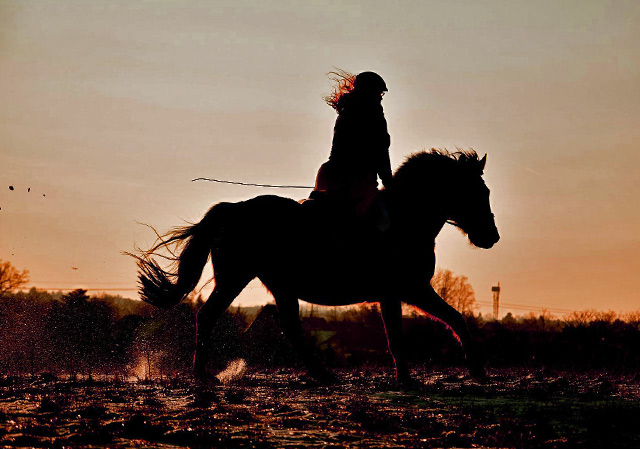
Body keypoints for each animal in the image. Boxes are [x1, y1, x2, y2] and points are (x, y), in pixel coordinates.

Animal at [131, 149, 500, 384]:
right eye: (477, 192)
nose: (492, 236)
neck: (404, 221)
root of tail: (232, 209)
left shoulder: (406, 292)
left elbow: (448, 320)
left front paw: (470, 370)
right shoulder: (406, 290)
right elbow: (413, 331)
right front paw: (421, 379)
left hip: (278, 286)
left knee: (290, 330)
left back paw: (323, 375)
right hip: (235, 278)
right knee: (208, 317)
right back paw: (203, 375)